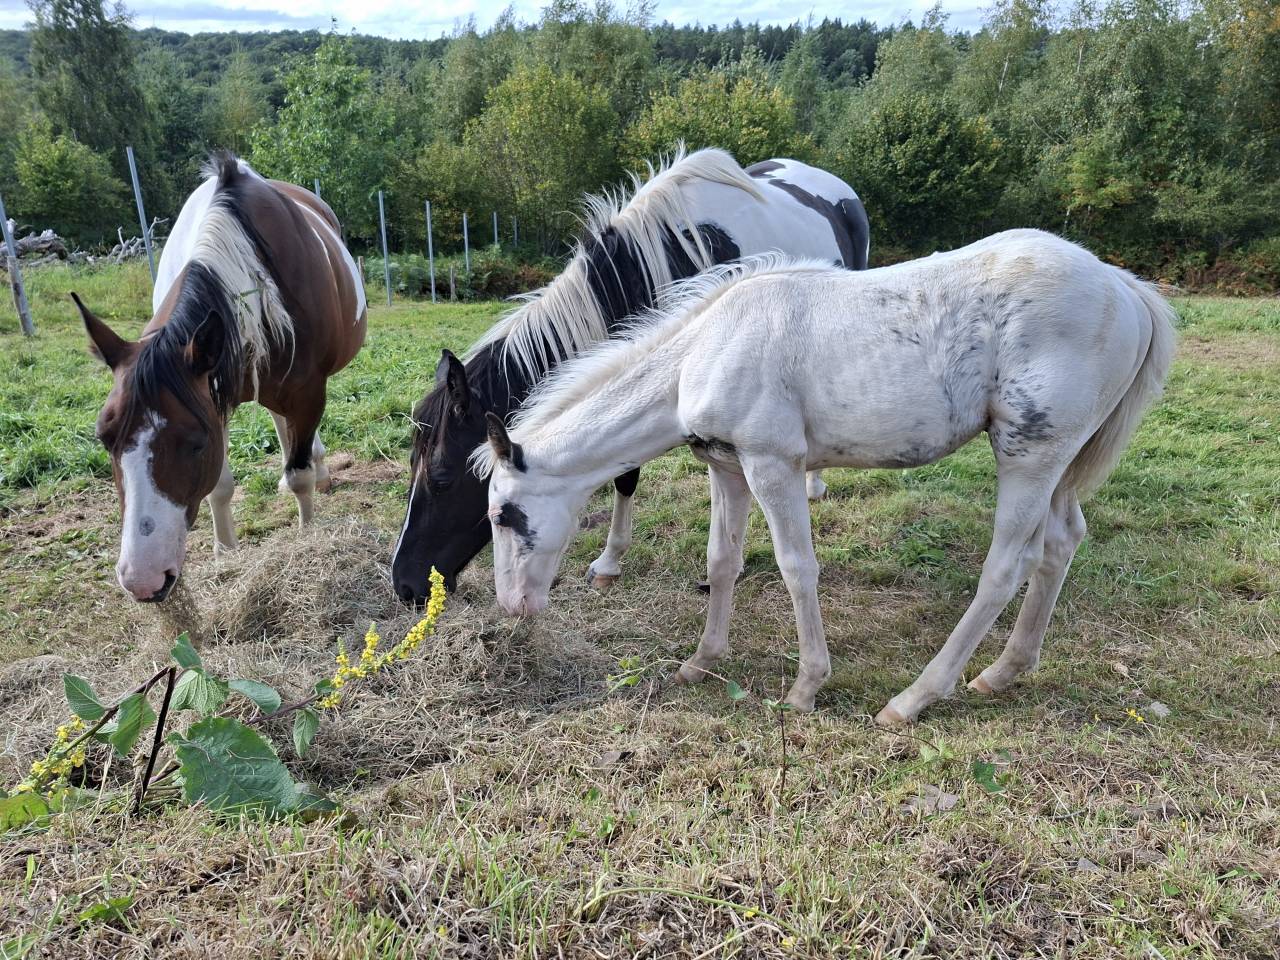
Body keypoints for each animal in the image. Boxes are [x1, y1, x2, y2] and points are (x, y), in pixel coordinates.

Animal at [76, 153, 367, 602]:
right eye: (104, 439)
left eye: (195, 444)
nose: (142, 581)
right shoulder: (213, 395)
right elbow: (221, 484)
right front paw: (225, 553)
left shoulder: (306, 391)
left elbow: (299, 475)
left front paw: (307, 538)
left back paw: (319, 469)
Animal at [477, 230, 1176, 725]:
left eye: (501, 515)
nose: (513, 606)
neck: (705, 351)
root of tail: (1125, 287)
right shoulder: (728, 469)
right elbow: (722, 562)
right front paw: (701, 662)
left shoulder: (773, 464)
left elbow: (796, 567)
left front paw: (806, 686)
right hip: (1059, 464)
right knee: (1061, 543)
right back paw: (1003, 672)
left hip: (1029, 455)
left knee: (1006, 566)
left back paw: (914, 698)